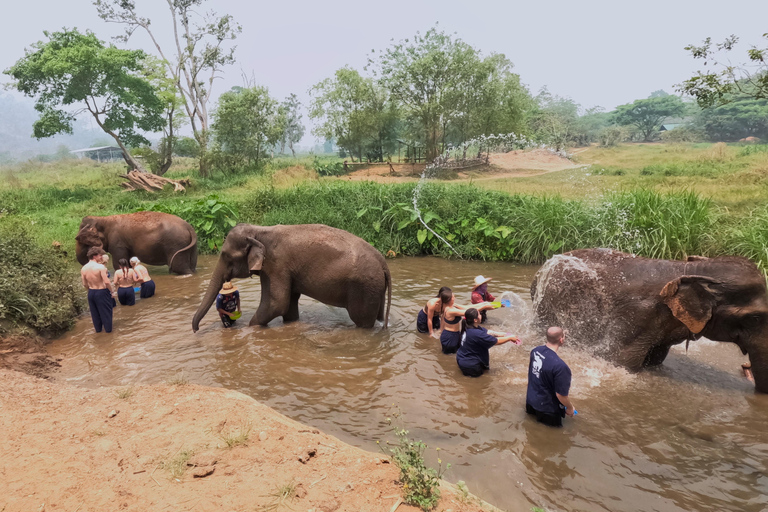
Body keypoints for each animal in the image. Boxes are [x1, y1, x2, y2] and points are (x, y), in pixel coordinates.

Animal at [191, 225, 392, 332]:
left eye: (226, 255)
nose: (196, 329)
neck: (259, 230)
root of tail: (383, 263)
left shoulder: (276, 265)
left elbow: (276, 303)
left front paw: (249, 329)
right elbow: (289, 307)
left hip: (364, 287)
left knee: (362, 322)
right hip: (375, 288)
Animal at [532, 248, 768, 392]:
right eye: (755, 318)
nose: (745, 369)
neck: (687, 270)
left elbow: (657, 358)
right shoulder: (636, 316)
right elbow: (621, 360)